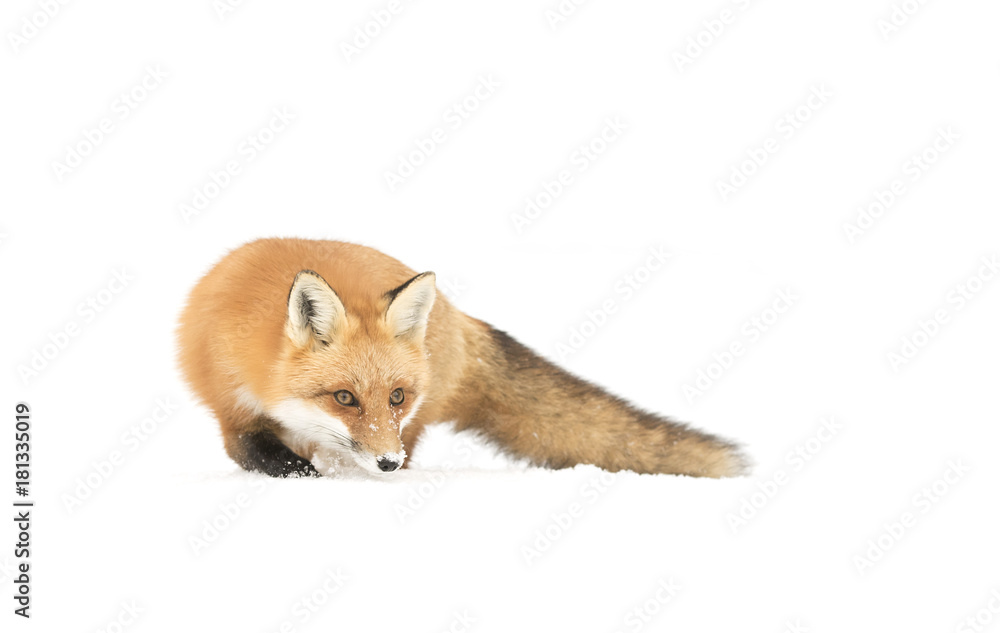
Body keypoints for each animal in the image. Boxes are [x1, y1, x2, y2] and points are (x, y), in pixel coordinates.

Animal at [177, 238, 748, 478]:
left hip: (419, 424)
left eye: (396, 395)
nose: (386, 463)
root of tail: (458, 319)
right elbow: (249, 451)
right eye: (344, 397)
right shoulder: (230, 401)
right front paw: (297, 470)